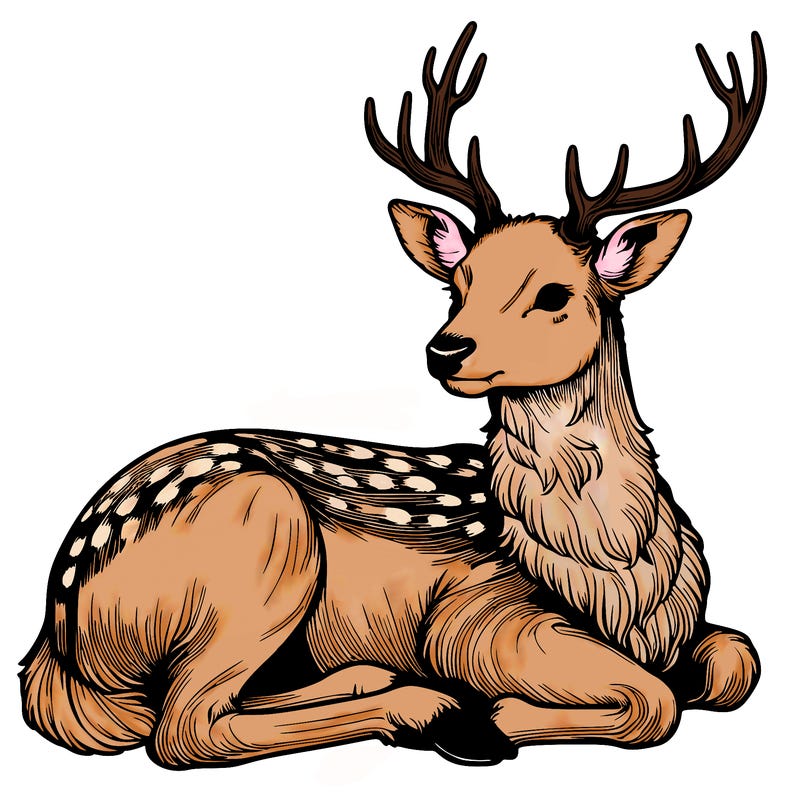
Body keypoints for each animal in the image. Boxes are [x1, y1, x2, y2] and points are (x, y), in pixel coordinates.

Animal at [20, 23, 765, 769]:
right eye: (458, 284)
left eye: (554, 293)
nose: (446, 348)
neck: (617, 576)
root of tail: (54, 638)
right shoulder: (477, 615)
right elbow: (655, 701)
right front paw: (493, 716)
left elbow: (737, 660)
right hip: (265, 538)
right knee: (183, 727)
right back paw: (433, 712)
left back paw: (377, 679)